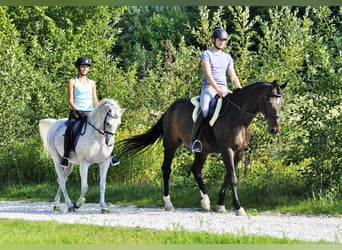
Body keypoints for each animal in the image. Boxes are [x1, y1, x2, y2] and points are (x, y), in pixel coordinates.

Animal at [120, 81, 286, 216]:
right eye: (269, 101)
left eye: (281, 103)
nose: (275, 129)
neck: (238, 117)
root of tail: (170, 109)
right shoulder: (227, 150)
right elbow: (233, 178)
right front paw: (238, 208)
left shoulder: (238, 153)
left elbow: (227, 177)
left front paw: (220, 205)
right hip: (171, 144)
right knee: (167, 169)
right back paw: (169, 203)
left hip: (203, 150)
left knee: (196, 169)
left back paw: (206, 202)